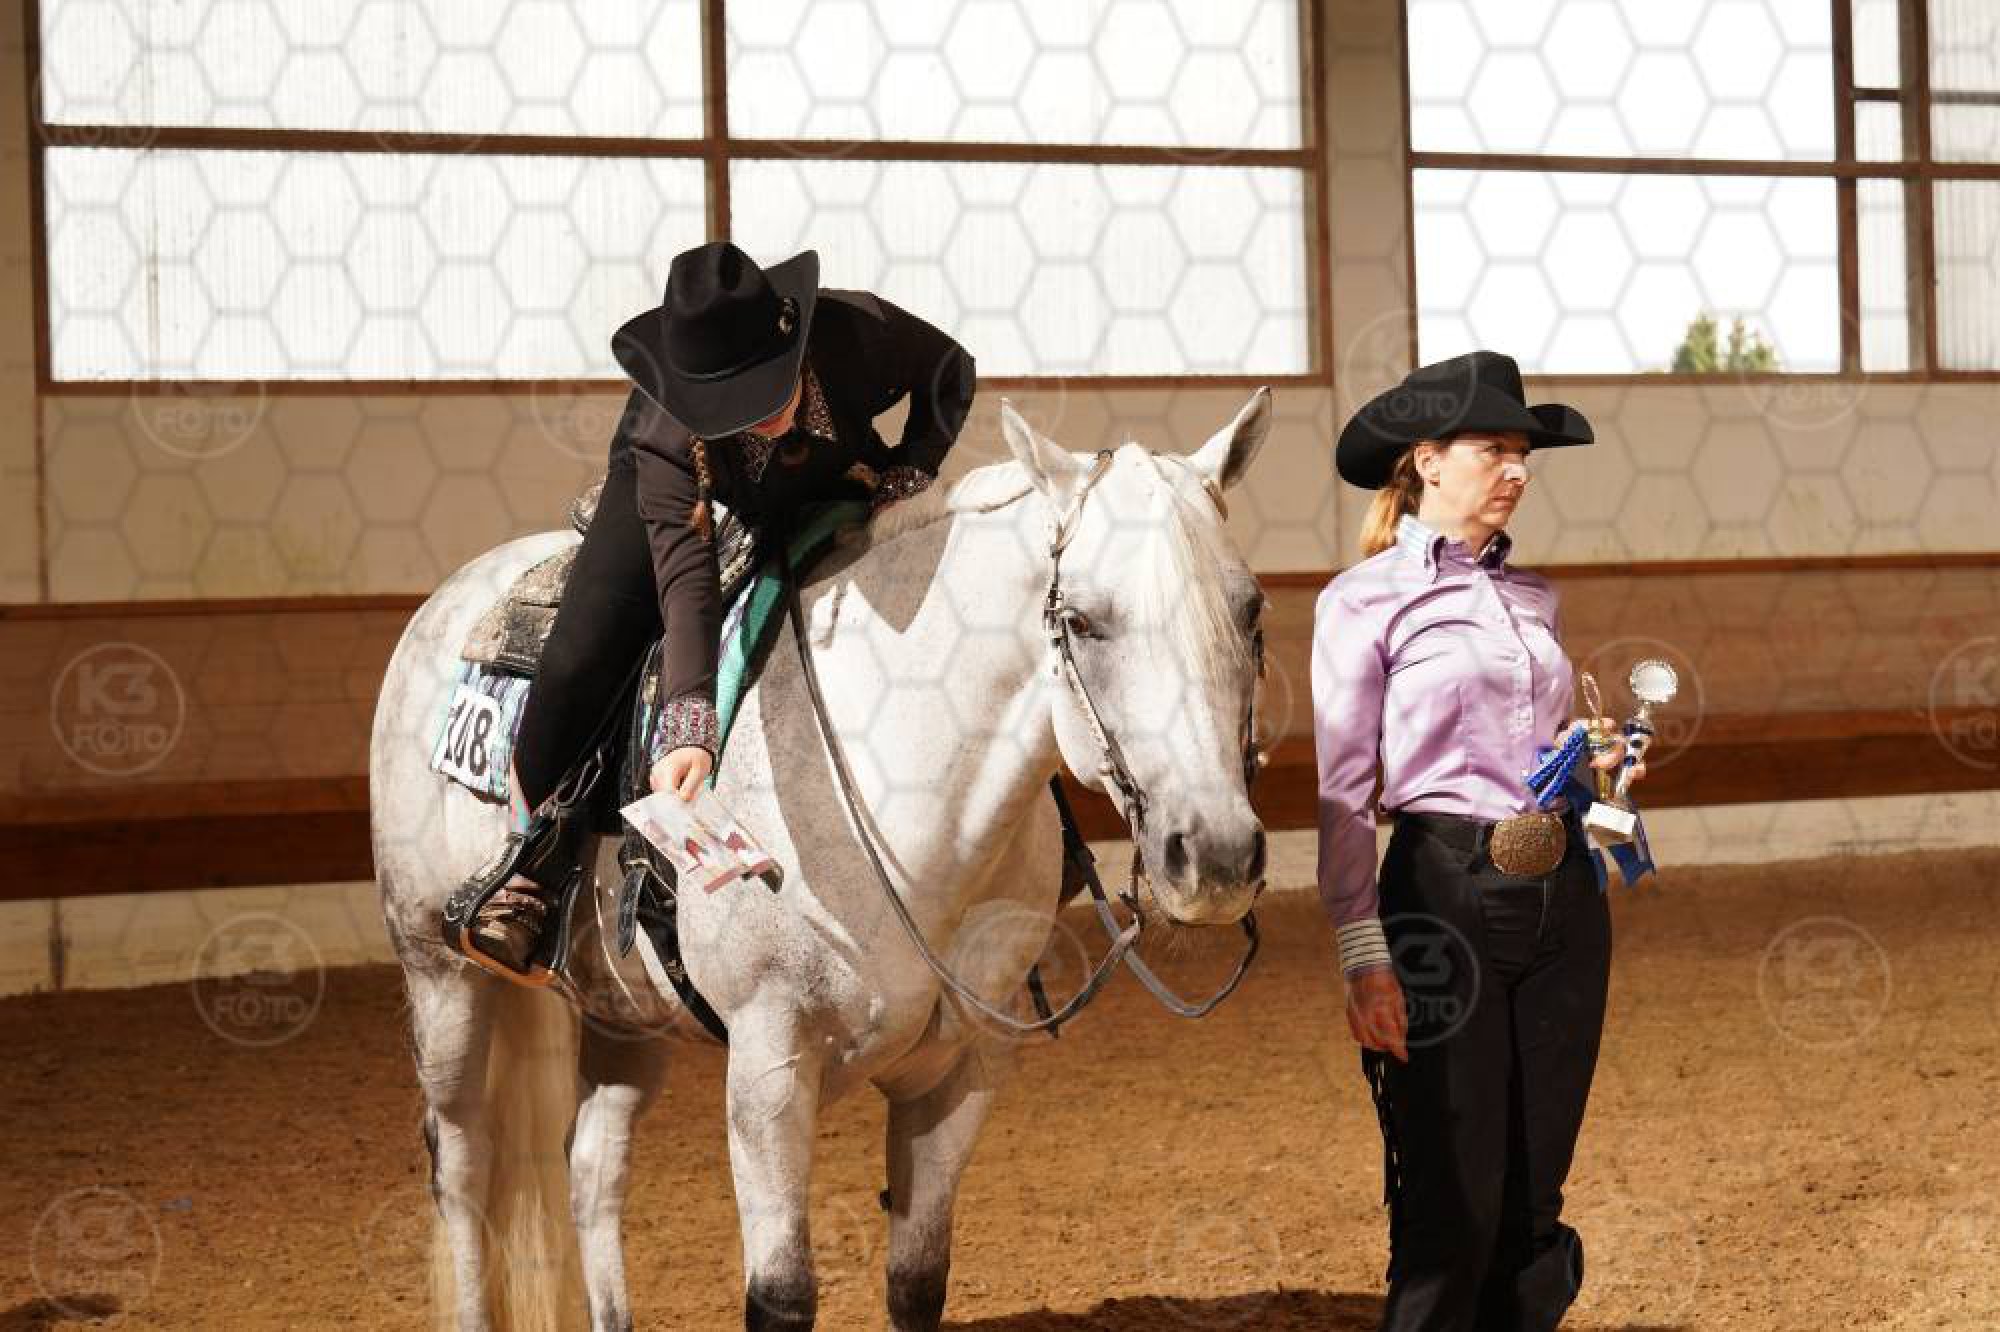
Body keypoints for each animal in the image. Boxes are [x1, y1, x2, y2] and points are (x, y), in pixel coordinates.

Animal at [369, 389, 1275, 1331]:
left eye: (1250, 611)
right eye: (1081, 621)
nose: (1214, 852)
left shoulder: (961, 1072)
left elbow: (917, 1282)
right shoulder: (770, 1072)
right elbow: (780, 1296)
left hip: (624, 1018)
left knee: (591, 1170)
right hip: (441, 976)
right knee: (463, 1169)